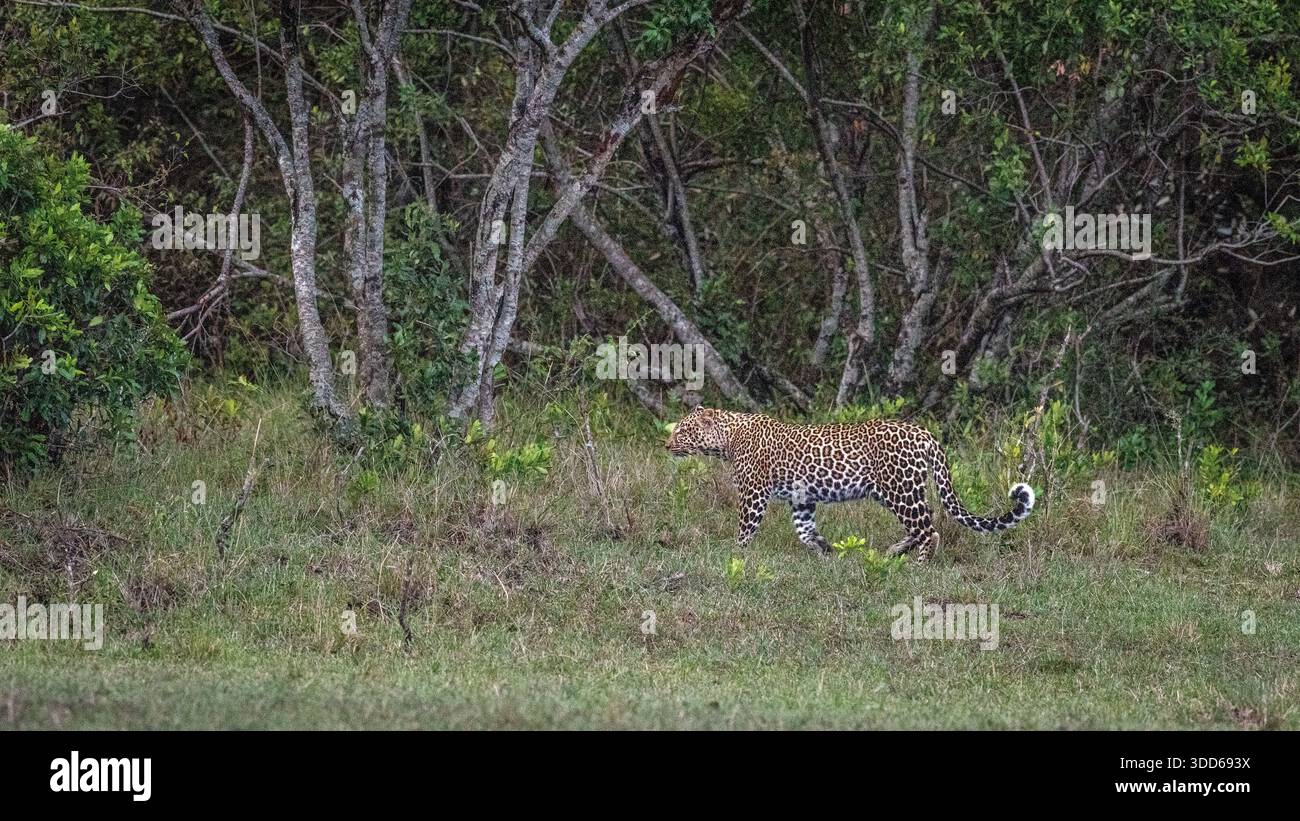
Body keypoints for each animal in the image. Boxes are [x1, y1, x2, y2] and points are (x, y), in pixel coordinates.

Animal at [665, 407, 1035, 562]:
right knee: (922, 525)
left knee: (930, 530)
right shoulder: (801, 499)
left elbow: (745, 528)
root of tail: (923, 432)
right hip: (893, 491)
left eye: (683, 430)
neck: (727, 439)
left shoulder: (754, 493)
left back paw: (919, 564)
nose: (666, 445)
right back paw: (894, 551)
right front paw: (824, 549)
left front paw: (734, 554)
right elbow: (804, 530)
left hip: (900, 489)